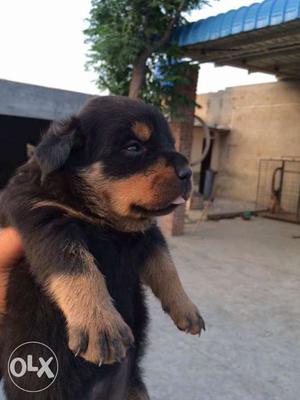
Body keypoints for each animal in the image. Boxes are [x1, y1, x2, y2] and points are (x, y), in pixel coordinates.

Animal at [0, 95, 205, 398]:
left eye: (170, 143)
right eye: (133, 147)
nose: (188, 172)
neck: (105, 219)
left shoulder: (148, 234)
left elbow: (166, 267)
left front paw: (186, 308)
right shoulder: (46, 218)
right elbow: (78, 269)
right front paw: (101, 324)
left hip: (134, 386)